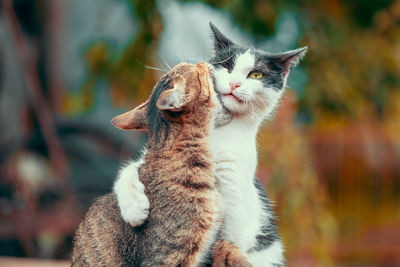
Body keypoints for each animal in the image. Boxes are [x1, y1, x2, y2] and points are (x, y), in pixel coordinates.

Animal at [112, 23, 306, 267]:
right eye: (227, 66)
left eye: (256, 74)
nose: (234, 83)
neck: (216, 132)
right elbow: (131, 168)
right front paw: (134, 209)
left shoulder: (237, 204)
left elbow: (226, 243)